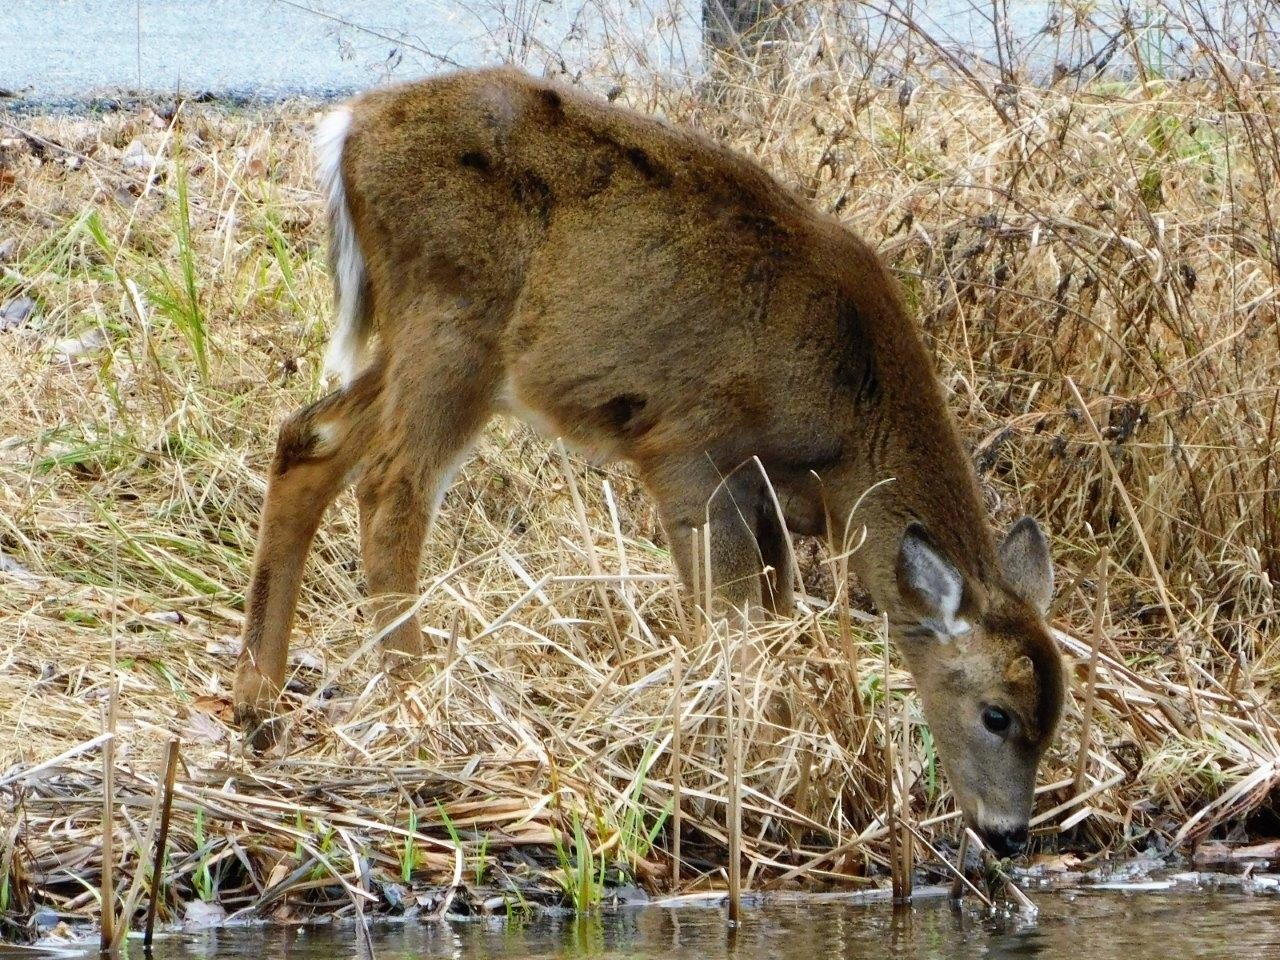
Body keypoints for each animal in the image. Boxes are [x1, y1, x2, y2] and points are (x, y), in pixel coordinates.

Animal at [232, 67, 1066, 858]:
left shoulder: (764, 492)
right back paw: (415, 703)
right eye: (997, 713)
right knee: (389, 486)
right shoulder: (691, 450)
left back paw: (257, 702)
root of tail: (349, 128)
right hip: (452, 323)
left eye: (1056, 716)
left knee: (306, 441)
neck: (848, 423)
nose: (1010, 835)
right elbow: (727, 623)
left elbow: (770, 620)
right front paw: (731, 764)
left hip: (418, 338)